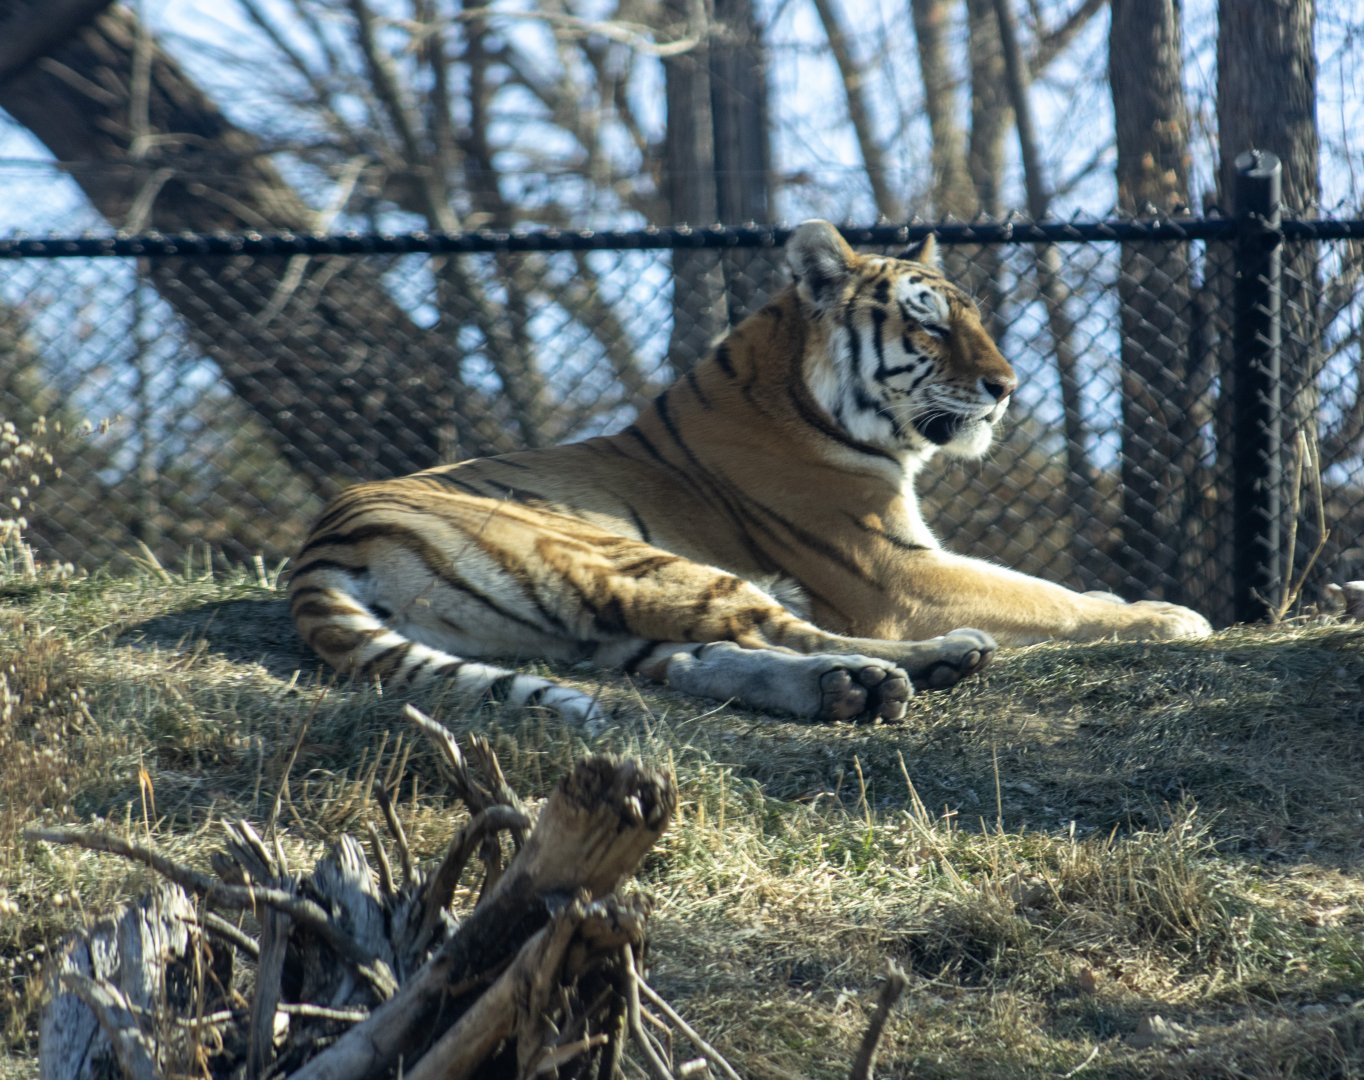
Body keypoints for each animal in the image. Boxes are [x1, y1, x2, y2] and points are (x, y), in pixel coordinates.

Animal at [289, 219, 1212, 730]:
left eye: (974, 319)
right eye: (929, 325)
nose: (1007, 385)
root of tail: (323, 544)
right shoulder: (893, 572)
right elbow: (1042, 595)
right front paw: (1165, 616)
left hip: (592, 622)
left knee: (698, 659)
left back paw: (849, 690)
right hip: (623, 557)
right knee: (784, 630)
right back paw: (930, 663)